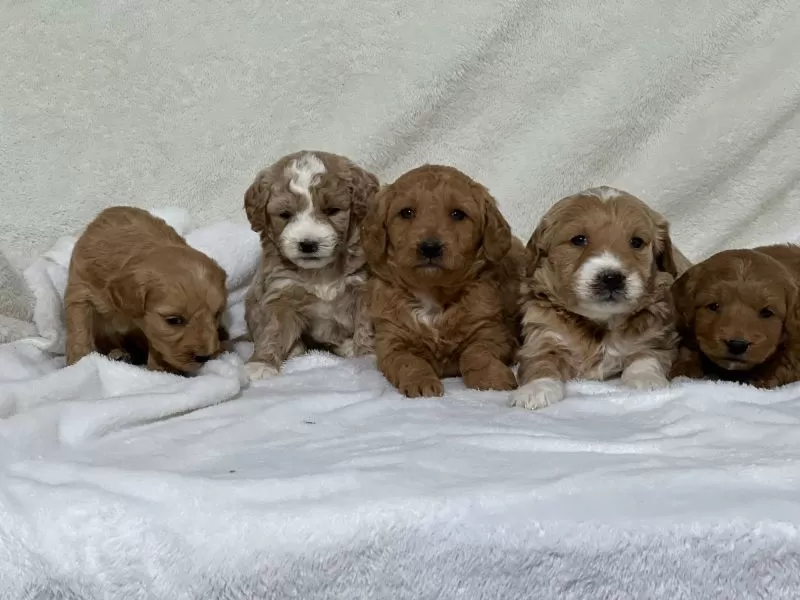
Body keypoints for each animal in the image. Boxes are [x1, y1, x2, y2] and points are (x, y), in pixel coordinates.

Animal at [64, 206, 228, 376]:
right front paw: (78, 364)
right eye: (174, 320)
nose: (205, 357)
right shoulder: (81, 291)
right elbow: (80, 332)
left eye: (217, 314)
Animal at [242, 149, 380, 380]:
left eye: (332, 210)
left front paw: (368, 354)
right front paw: (262, 363)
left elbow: (367, 325)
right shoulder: (281, 292)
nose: (308, 244)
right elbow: (272, 330)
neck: (320, 272)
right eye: (285, 214)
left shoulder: (363, 287)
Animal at [362, 164, 524, 398]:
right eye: (406, 212)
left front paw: (491, 380)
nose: (430, 247)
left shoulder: (491, 331)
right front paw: (422, 383)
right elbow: (409, 362)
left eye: (457, 214)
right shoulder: (391, 341)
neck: (432, 295)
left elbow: (477, 353)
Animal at [512, 188, 692, 410]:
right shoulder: (542, 335)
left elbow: (646, 356)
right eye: (579, 239)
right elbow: (540, 361)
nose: (612, 278)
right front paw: (535, 389)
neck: (601, 323)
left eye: (636, 242)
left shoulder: (658, 336)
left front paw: (647, 380)